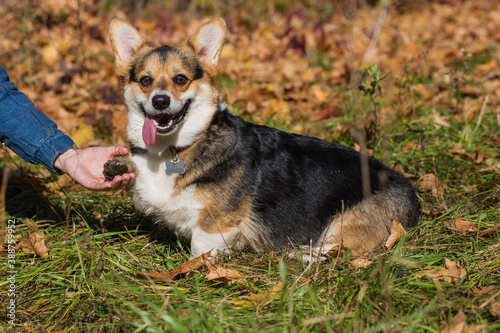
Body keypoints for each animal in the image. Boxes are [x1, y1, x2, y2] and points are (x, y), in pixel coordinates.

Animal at [105, 16, 422, 258]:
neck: (174, 150)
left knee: (338, 251)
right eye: (145, 80)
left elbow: (200, 252)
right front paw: (118, 166)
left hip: (344, 223)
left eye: (180, 78)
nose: (160, 101)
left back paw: (300, 255)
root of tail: (413, 195)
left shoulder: (215, 225)